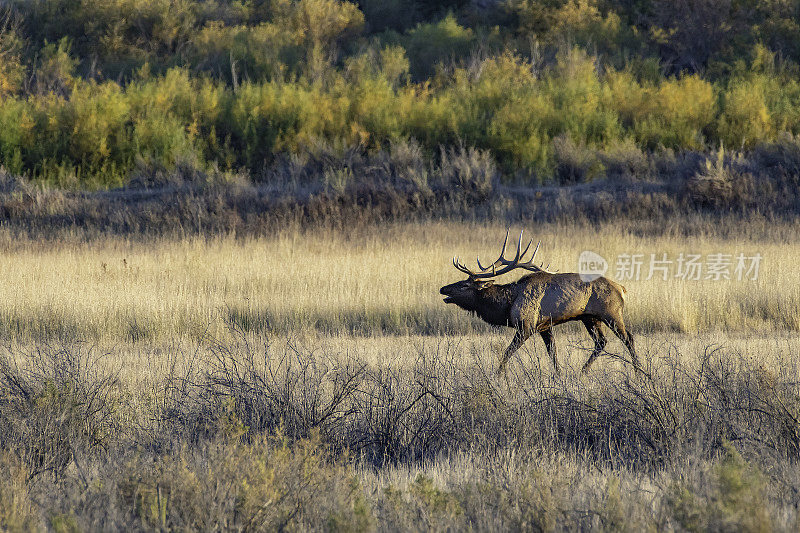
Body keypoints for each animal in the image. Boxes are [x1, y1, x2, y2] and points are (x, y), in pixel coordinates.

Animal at [438, 230, 636, 374]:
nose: (443, 289)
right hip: (589, 318)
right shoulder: (544, 326)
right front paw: (558, 376)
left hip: (611, 313)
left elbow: (507, 353)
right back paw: (583, 371)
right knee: (601, 342)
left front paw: (499, 375)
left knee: (628, 338)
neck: (507, 305)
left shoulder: (526, 326)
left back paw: (638, 371)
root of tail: (622, 289)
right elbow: (553, 353)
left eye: (464, 285)